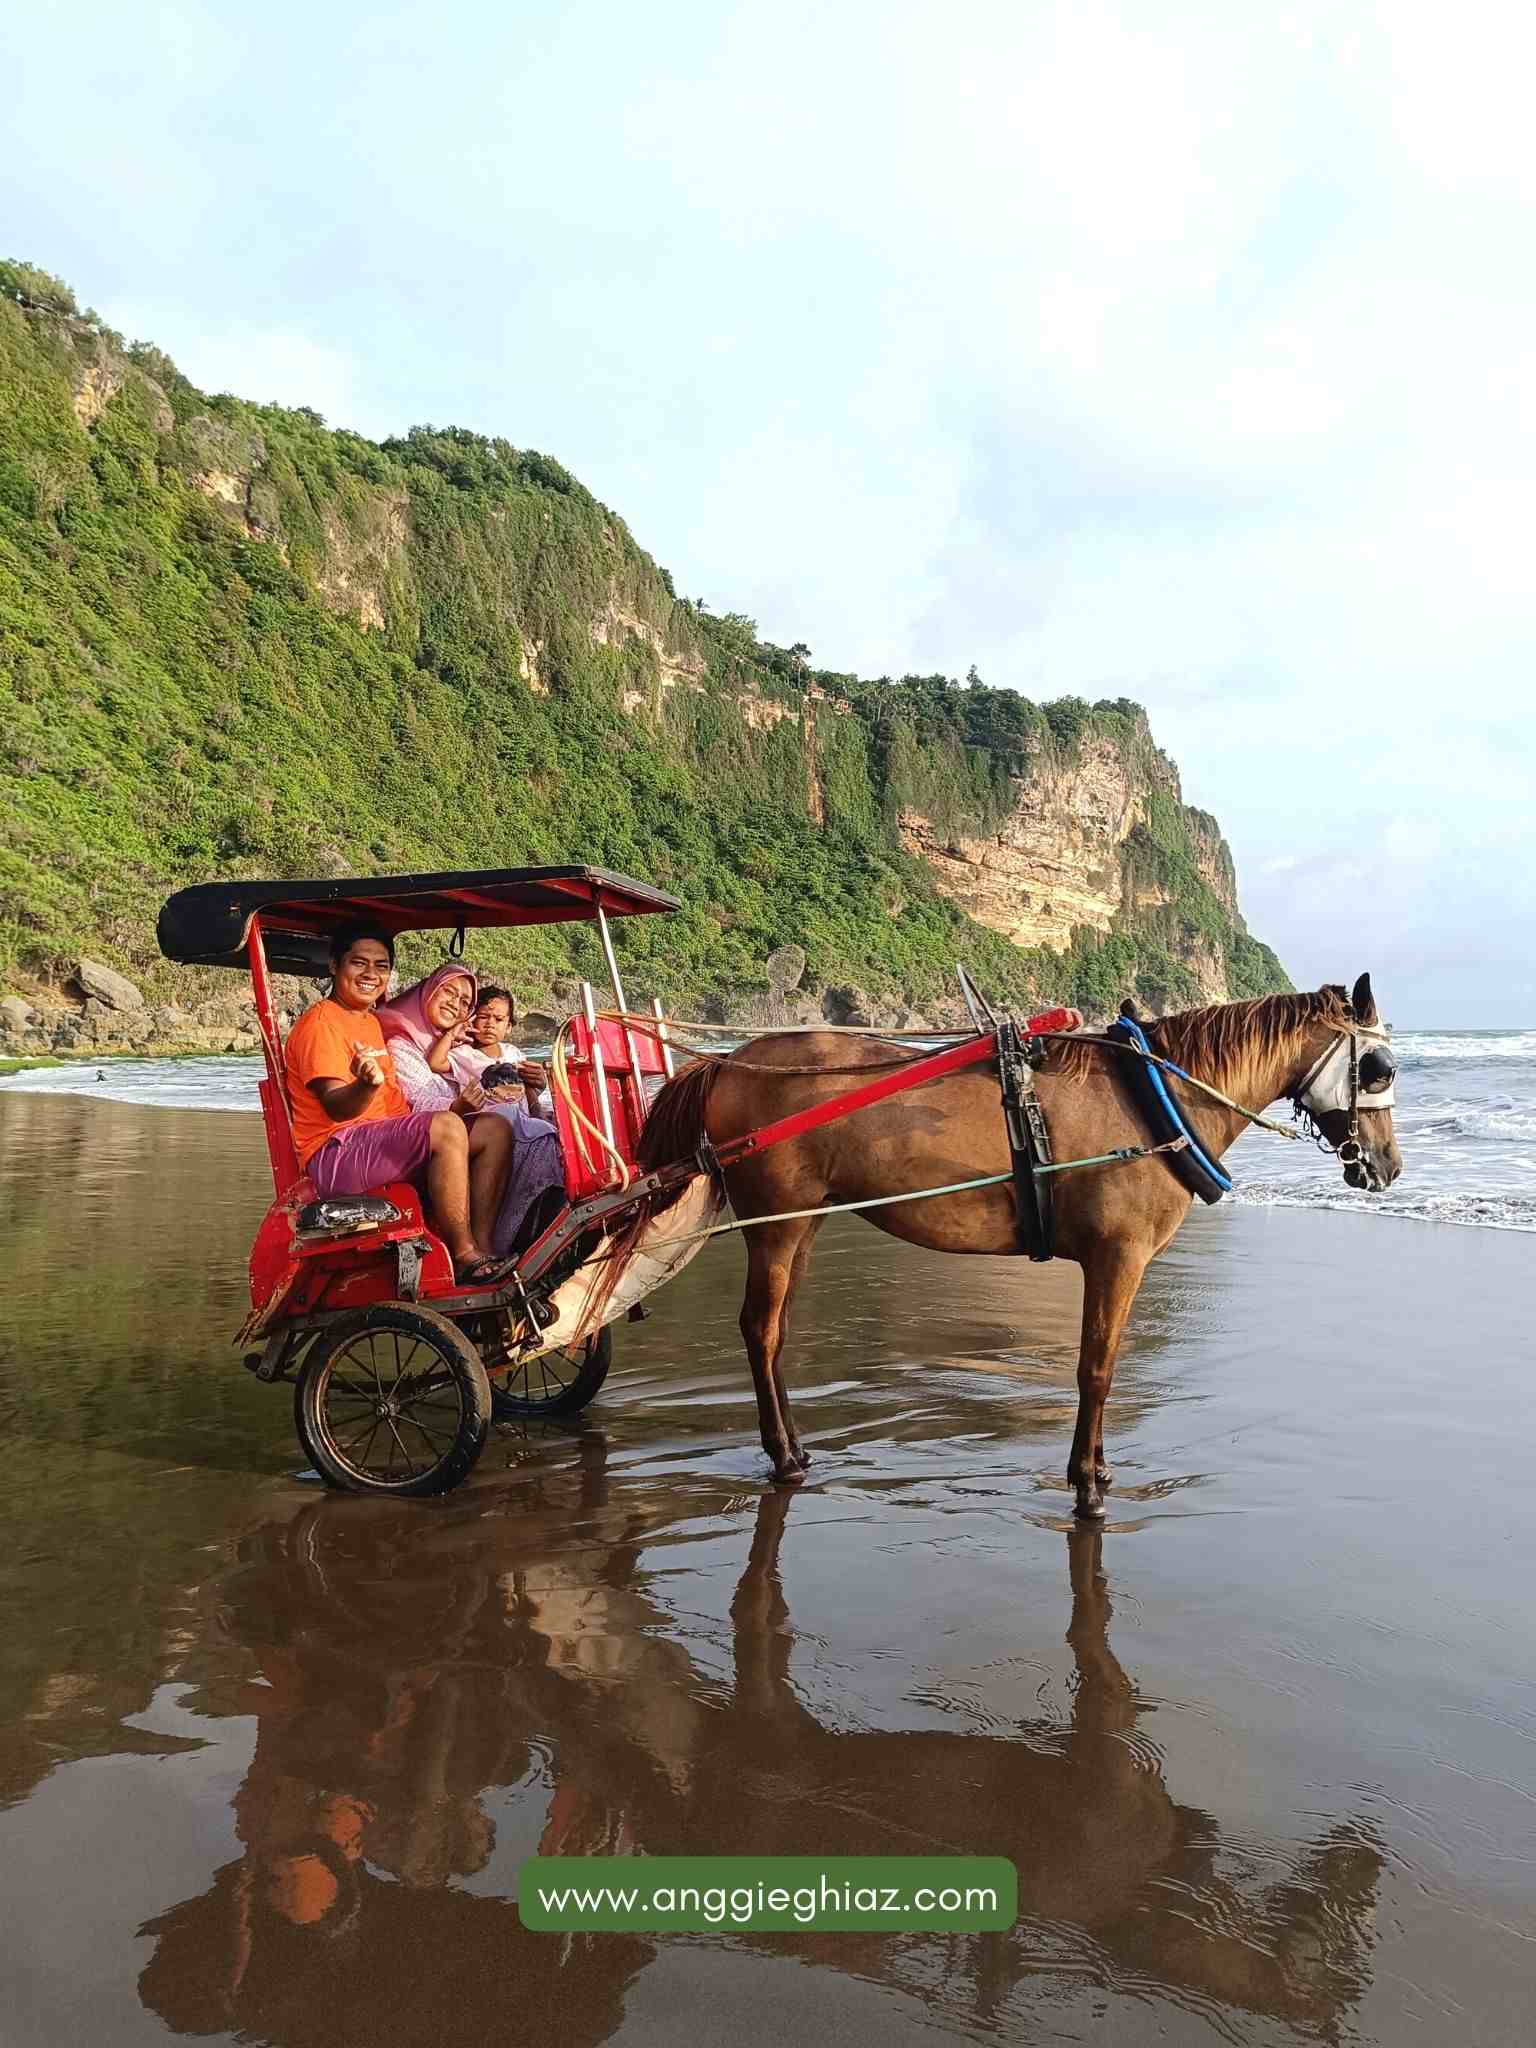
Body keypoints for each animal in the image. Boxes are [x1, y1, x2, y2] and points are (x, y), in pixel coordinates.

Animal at [638, 974, 1409, 1523]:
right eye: (1378, 1068)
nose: (1389, 1166)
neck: (1154, 1097)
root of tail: (728, 1064)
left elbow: (1102, 1367)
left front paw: (1095, 1469)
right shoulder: (1117, 1259)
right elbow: (1096, 1371)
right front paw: (1087, 1486)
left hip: (805, 1223)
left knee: (775, 1332)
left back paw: (794, 1446)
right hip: (776, 1224)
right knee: (760, 1331)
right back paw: (782, 1457)